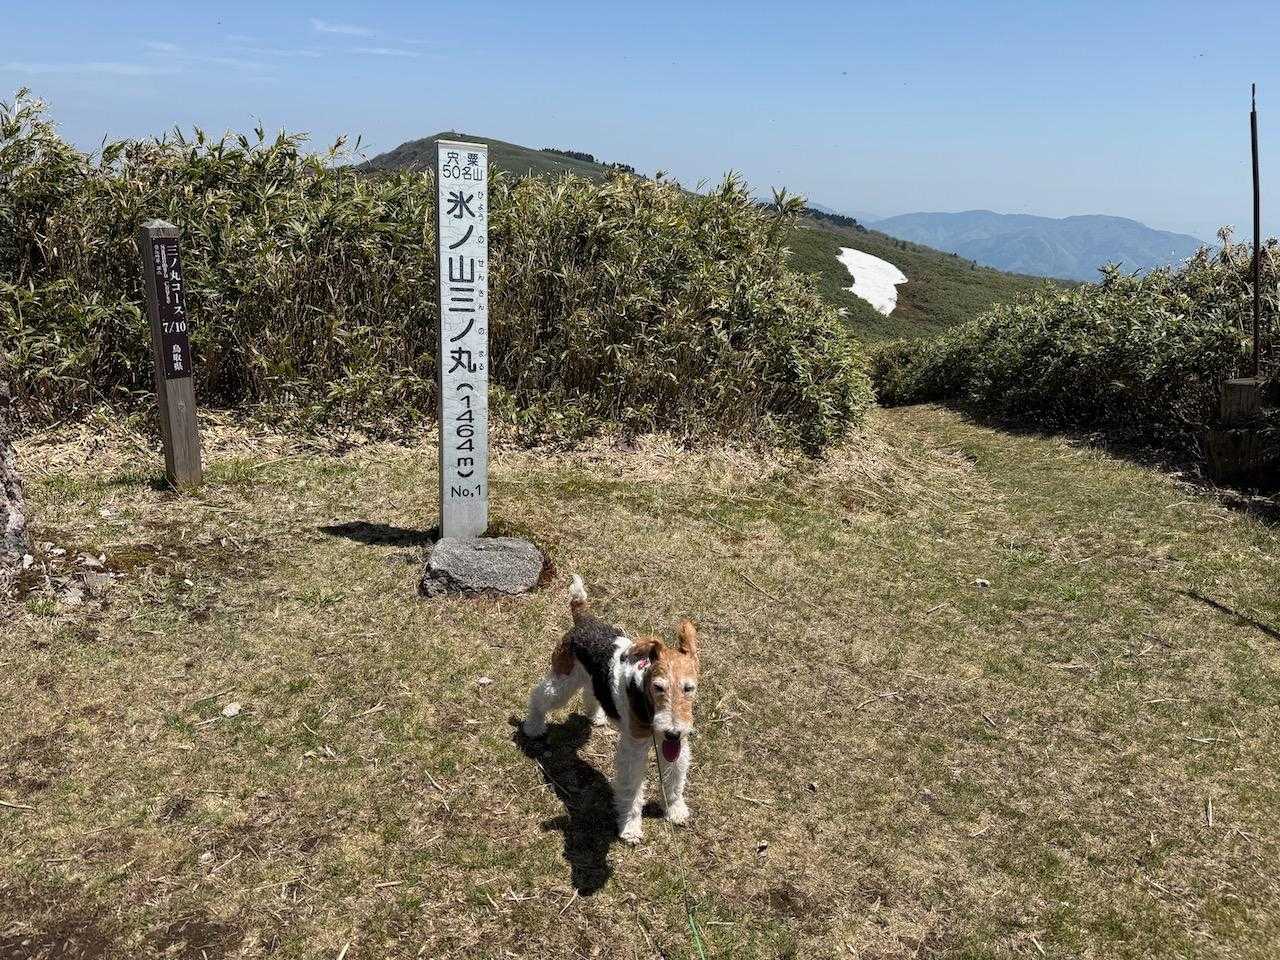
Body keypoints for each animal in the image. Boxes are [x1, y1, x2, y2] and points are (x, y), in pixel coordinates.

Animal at [522, 575, 700, 844]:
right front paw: (630, 827)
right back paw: (532, 727)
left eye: (689, 688)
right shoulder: (634, 749)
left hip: (587, 678)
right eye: (658, 687)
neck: (643, 692)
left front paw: (675, 809)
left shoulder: (675, 745)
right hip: (563, 681)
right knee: (539, 697)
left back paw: (596, 716)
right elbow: (632, 789)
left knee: (591, 692)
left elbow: (674, 777)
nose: (672, 732)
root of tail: (584, 620)